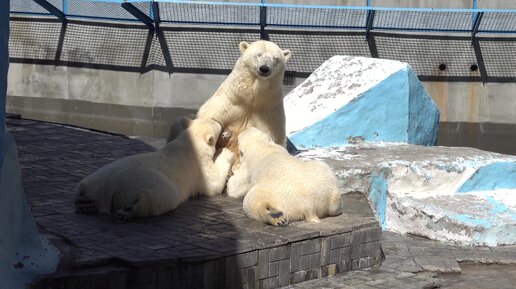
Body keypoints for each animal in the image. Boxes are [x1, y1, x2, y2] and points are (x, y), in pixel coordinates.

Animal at [74, 117, 234, 218]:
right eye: (216, 124)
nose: (220, 122)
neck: (189, 143)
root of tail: (109, 187)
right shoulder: (198, 167)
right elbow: (213, 183)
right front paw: (226, 153)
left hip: (95, 179)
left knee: (83, 186)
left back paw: (84, 202)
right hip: (150, 183)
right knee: (162, 197)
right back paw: (128, 211)